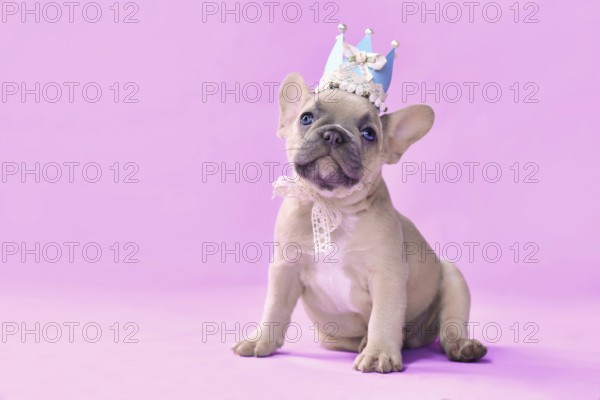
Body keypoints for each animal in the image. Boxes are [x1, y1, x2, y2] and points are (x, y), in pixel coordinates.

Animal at [231, 73, 488, 374]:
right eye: (306, 118)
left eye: (369, 134)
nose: (334, 134)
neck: (333, 206)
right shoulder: (285, 269)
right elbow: (274, 307)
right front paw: (260, 340)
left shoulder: (387, 275)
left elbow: (383, 316)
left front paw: (378, 354)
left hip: (453, 279)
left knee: (450, 327)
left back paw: (462, 346)